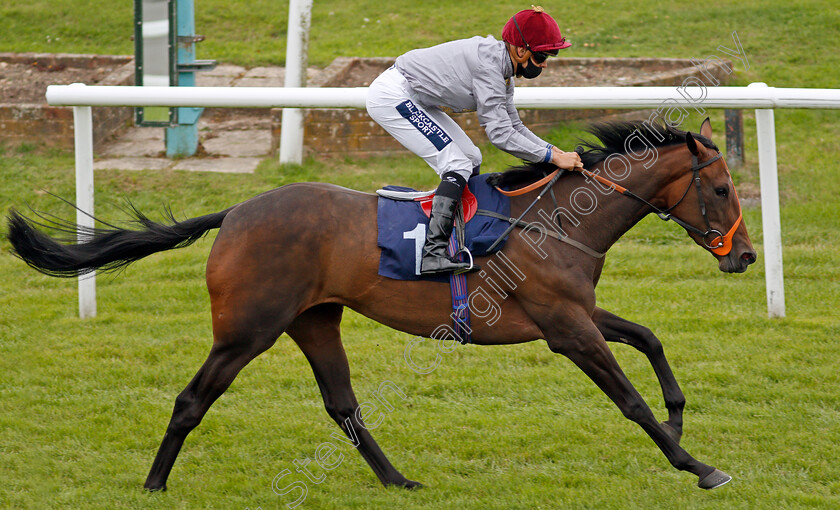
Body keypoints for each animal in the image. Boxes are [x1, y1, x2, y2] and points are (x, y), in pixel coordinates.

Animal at [4, 117, 756, 492]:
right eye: (720, 188)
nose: (746, 256)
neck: (554, 221)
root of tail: (235, 212)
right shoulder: (565, 328)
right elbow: (628, 399)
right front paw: (699, 466)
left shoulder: (574, 313)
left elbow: (650, 337)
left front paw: (680, 417)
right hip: (247, 329)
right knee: (193, 401)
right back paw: (155, 485)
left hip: (313, 321)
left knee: (342, 405)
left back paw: (397, 480)